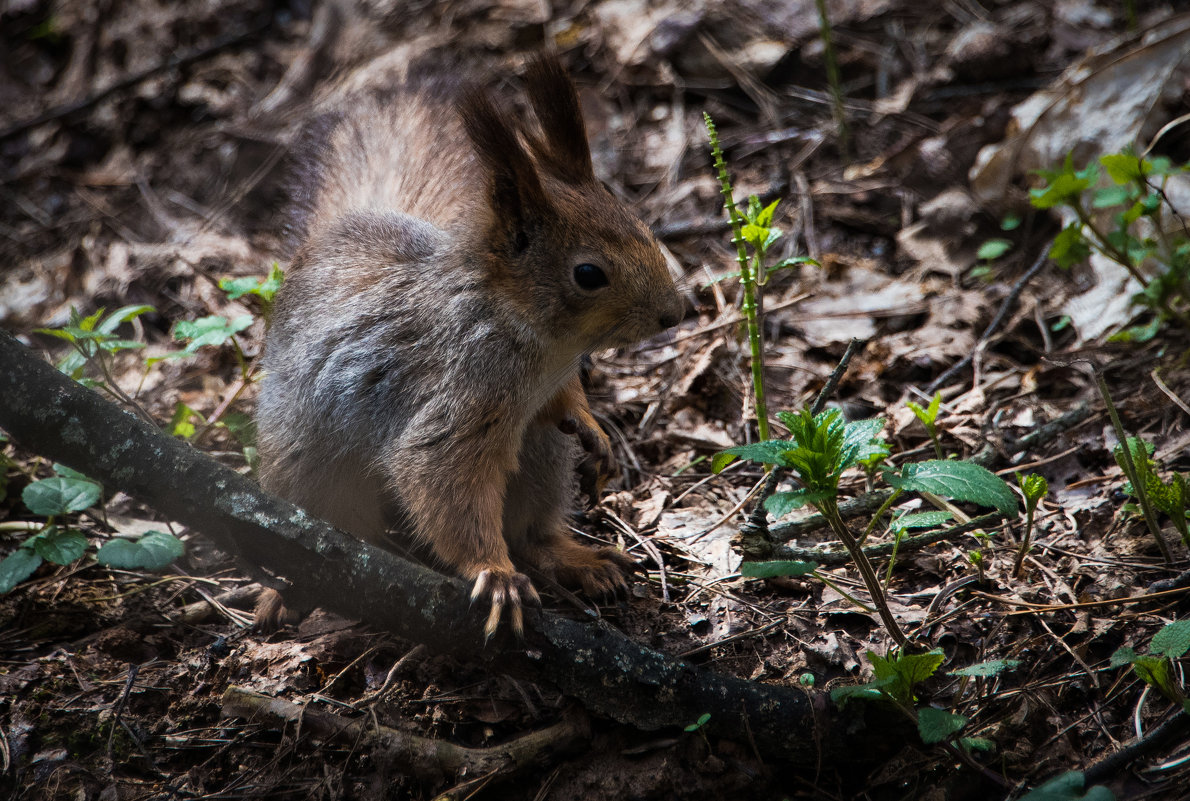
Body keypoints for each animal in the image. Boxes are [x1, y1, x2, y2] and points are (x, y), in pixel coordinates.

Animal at [255, 54, 685, 637]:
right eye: (589, 274)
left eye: (640, 225)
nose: (674, 313)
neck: (540, 343)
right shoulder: (458, 395)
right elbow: (440, 481)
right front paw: (493, 573)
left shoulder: (550, 386)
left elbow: (565, 404)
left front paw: (594, 428)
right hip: (306, 471)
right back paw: (281, 591)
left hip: (540, 450)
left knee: (534, 528)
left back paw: (577, 559)